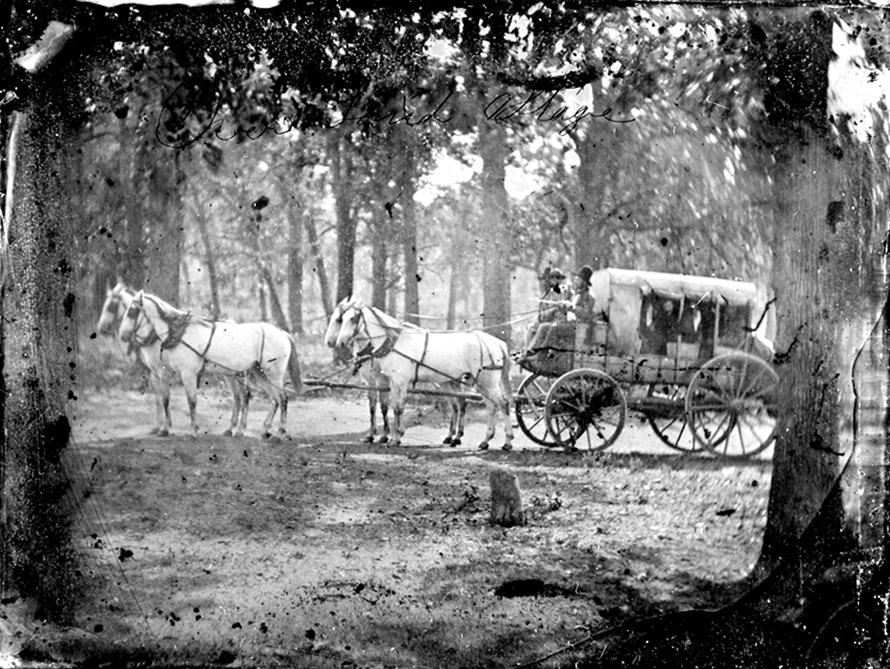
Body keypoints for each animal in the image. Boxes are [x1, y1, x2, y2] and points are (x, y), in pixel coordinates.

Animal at [118, 288, 302, 438]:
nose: (122, 335)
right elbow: (164, 399)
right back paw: (261, 429)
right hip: (258, 374)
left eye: (132, 311)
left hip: (272, 374)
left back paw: (279, 431)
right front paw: (164, 428)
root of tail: (283, 333)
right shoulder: (161, 373)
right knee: (270, 400)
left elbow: (189, 401)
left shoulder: (185, 373)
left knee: (282, 398)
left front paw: (192, 431)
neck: (178, 334)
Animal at [332, 296, 512, 448]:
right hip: (474, 384)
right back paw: (481, 440)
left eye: (353, 318)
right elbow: (391, 407)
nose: (339, 343)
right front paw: (391, 436)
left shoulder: (399, 381)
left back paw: (507, 441)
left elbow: (398, 408)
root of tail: (497, 342)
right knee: (485, 407)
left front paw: (396, 437)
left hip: (486, 383)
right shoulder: (391, 382)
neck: (394, 342)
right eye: (342, 318)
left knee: (502, 404)